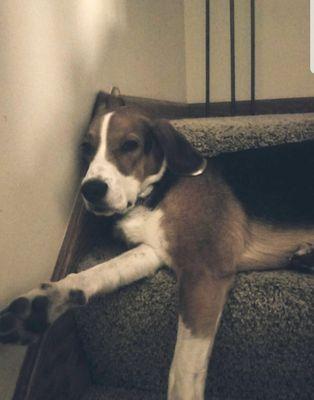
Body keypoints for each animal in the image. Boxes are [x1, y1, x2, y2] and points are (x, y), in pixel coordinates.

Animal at [0, 90, 314, 400]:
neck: (154, 194)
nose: (90, 190)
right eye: (86, 148)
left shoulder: (204, 271)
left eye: (130, 145)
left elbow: (182, 371)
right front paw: (42, 304)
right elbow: (98, 272)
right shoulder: (153, 250)